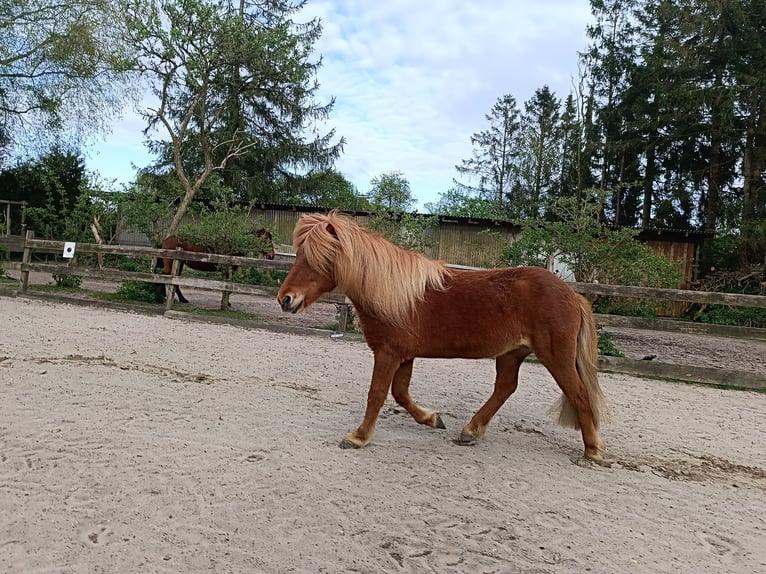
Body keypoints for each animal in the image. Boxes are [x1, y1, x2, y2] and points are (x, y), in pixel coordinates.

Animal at [277, 211, 608, 461]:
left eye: (315, 258)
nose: (285, 299)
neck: (394, 294)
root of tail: (572, 295)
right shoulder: (404, 355)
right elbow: (400, 393)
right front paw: (432, 419)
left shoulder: (387, 353)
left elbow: (377, 394)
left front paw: (358, 437)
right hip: (511, 355)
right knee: (505, 388)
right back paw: (470, 431)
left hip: (555, 357)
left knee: (579, 394)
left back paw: (592, 451)